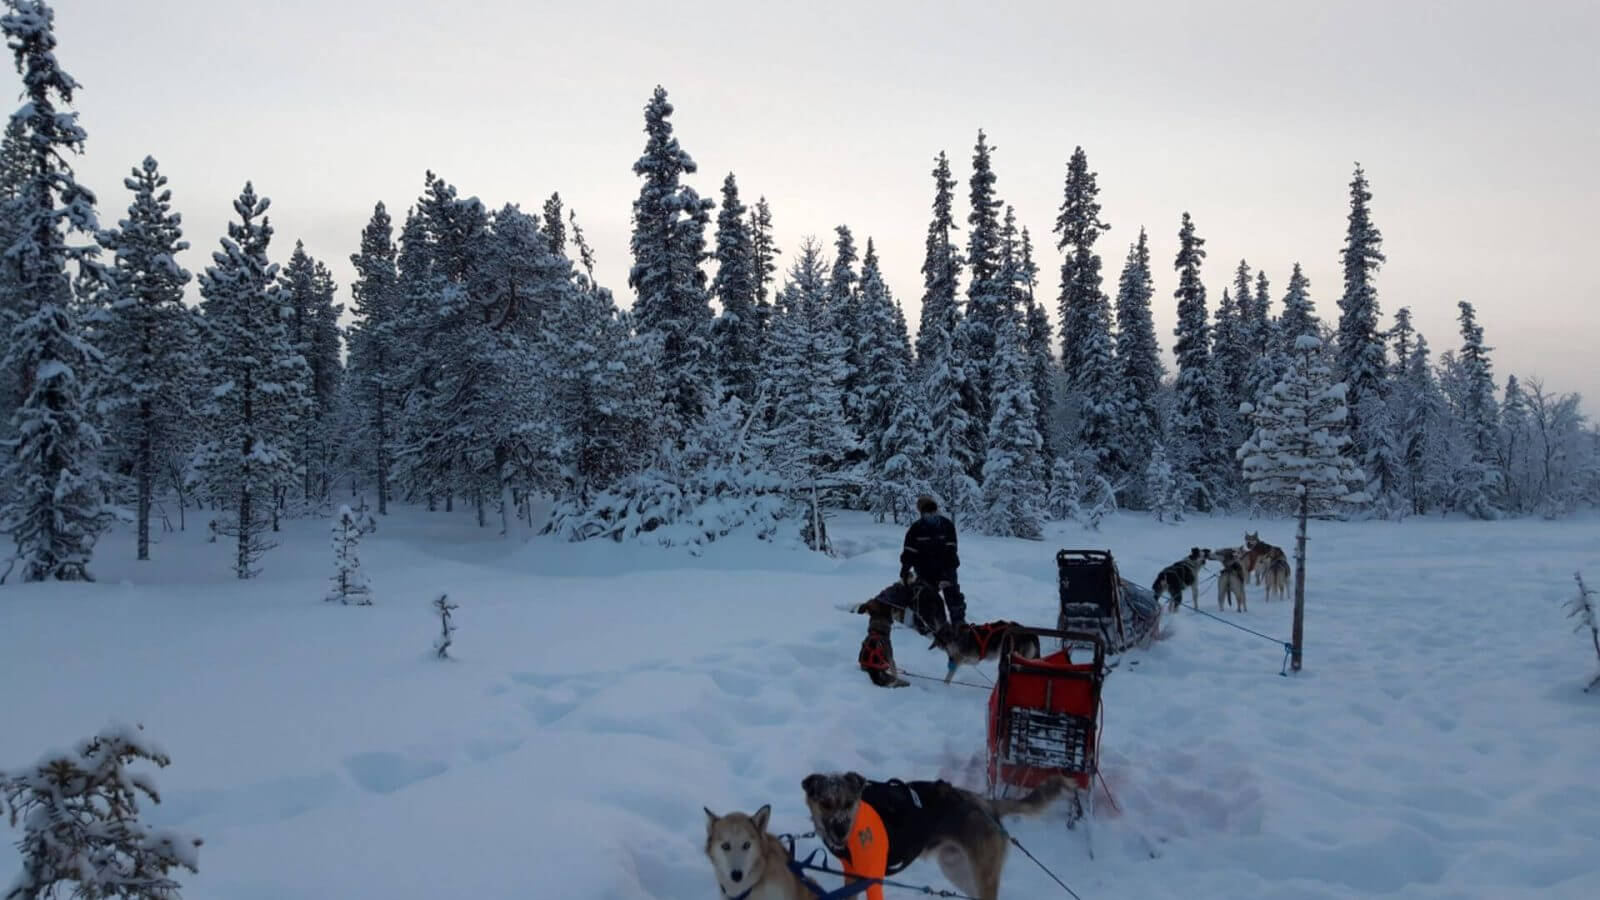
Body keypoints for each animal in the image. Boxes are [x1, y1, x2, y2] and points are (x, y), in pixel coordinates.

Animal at [800, 768, 1075, 896]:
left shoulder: (869, 876)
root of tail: (986, 804)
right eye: (825, 803)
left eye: (849, 804)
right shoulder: (852, 873)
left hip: (980, 874)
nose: (840, 831)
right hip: (957, 870)